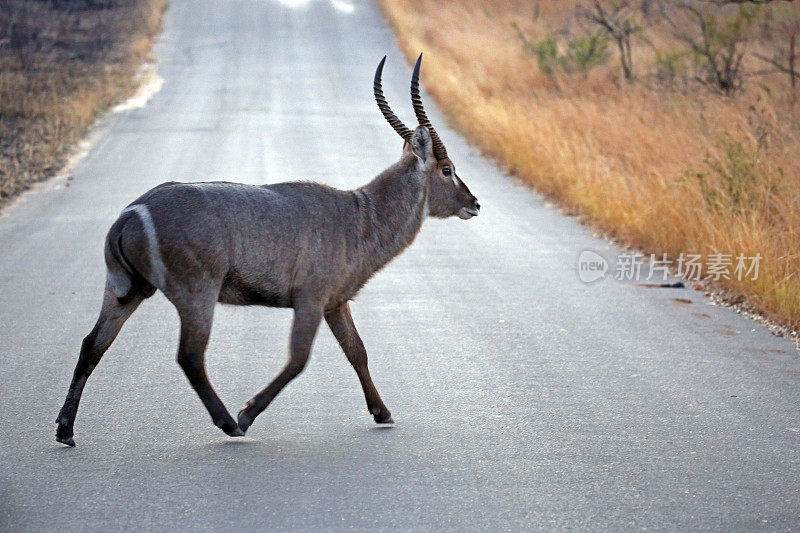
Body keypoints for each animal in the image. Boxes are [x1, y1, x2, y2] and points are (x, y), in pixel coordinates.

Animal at [59, 54, 482, 444]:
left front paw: (383, 412)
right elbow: (298, 360)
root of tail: (133, 212)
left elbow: (357, 351)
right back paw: (229, 423)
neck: (361, 215)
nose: (475, 204)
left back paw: (65, 430)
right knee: (189, 357)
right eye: (447, 169)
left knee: (92, 344)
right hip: (196, 293)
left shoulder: (335, 302)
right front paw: (247, 414)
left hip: (125, 290)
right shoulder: (311, 299)